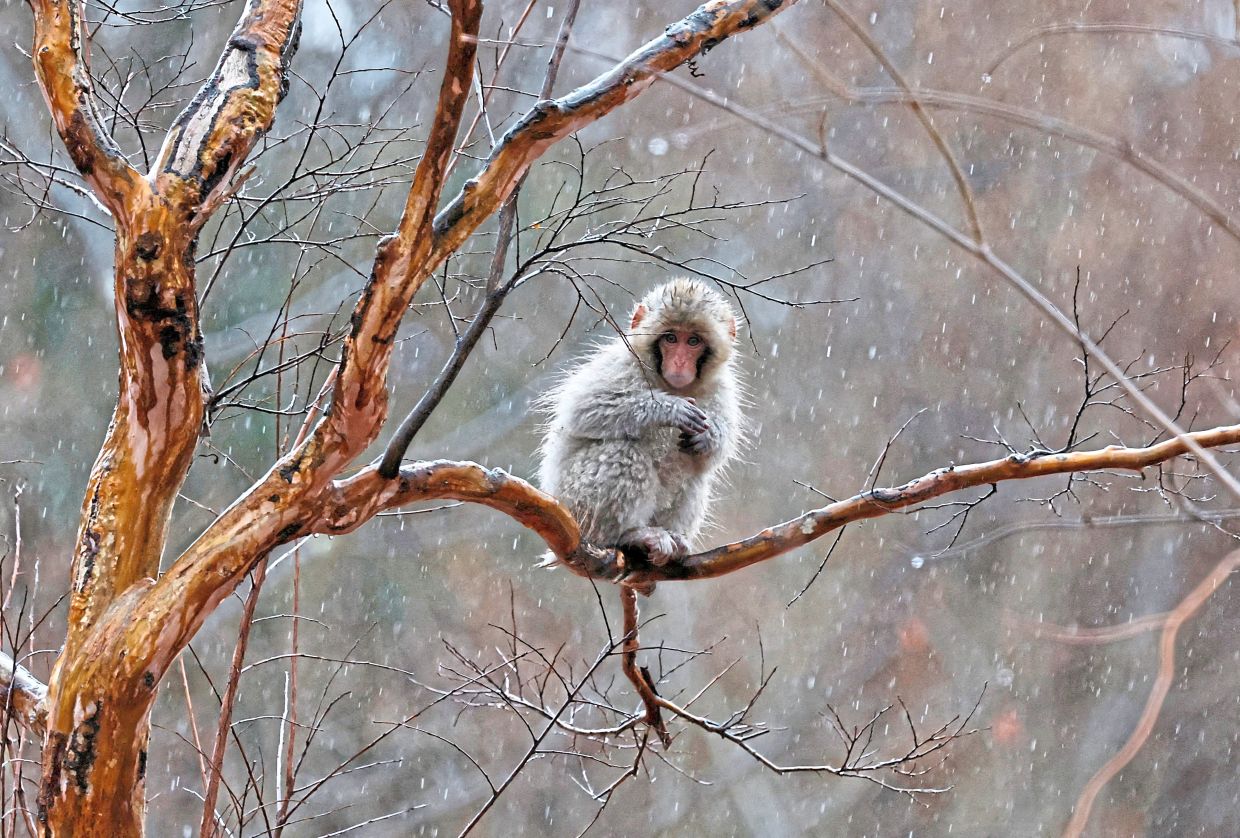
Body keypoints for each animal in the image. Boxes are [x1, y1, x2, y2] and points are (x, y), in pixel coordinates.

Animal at [538, 278, 743, 572]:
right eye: (671, 338)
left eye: (693, 341)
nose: (679, 362)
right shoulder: (621, 362)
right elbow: (584, 408)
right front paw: (669, 409)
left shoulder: (722, 387)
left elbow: (717, 451)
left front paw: (709, 437)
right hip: (576, 501)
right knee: (623, 453)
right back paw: (630, 535)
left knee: (696, 475)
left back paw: (673, 538)